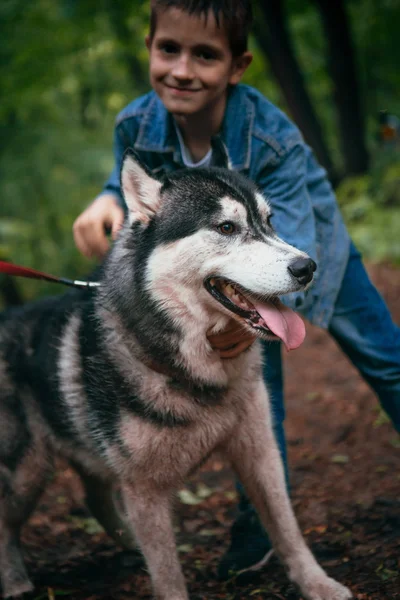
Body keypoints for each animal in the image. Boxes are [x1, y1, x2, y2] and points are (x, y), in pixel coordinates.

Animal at [0, 146, 352, 600]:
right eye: (226, 227)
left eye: (270, 221)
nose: (307, 266)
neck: (198, 369)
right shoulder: (143, 488)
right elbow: (167, 574)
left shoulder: (259, 451)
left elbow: (287, 528)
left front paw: (317, 584)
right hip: (26, 472)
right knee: (7, 520)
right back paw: (14, 581)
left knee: (95, 496)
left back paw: (128, 542)